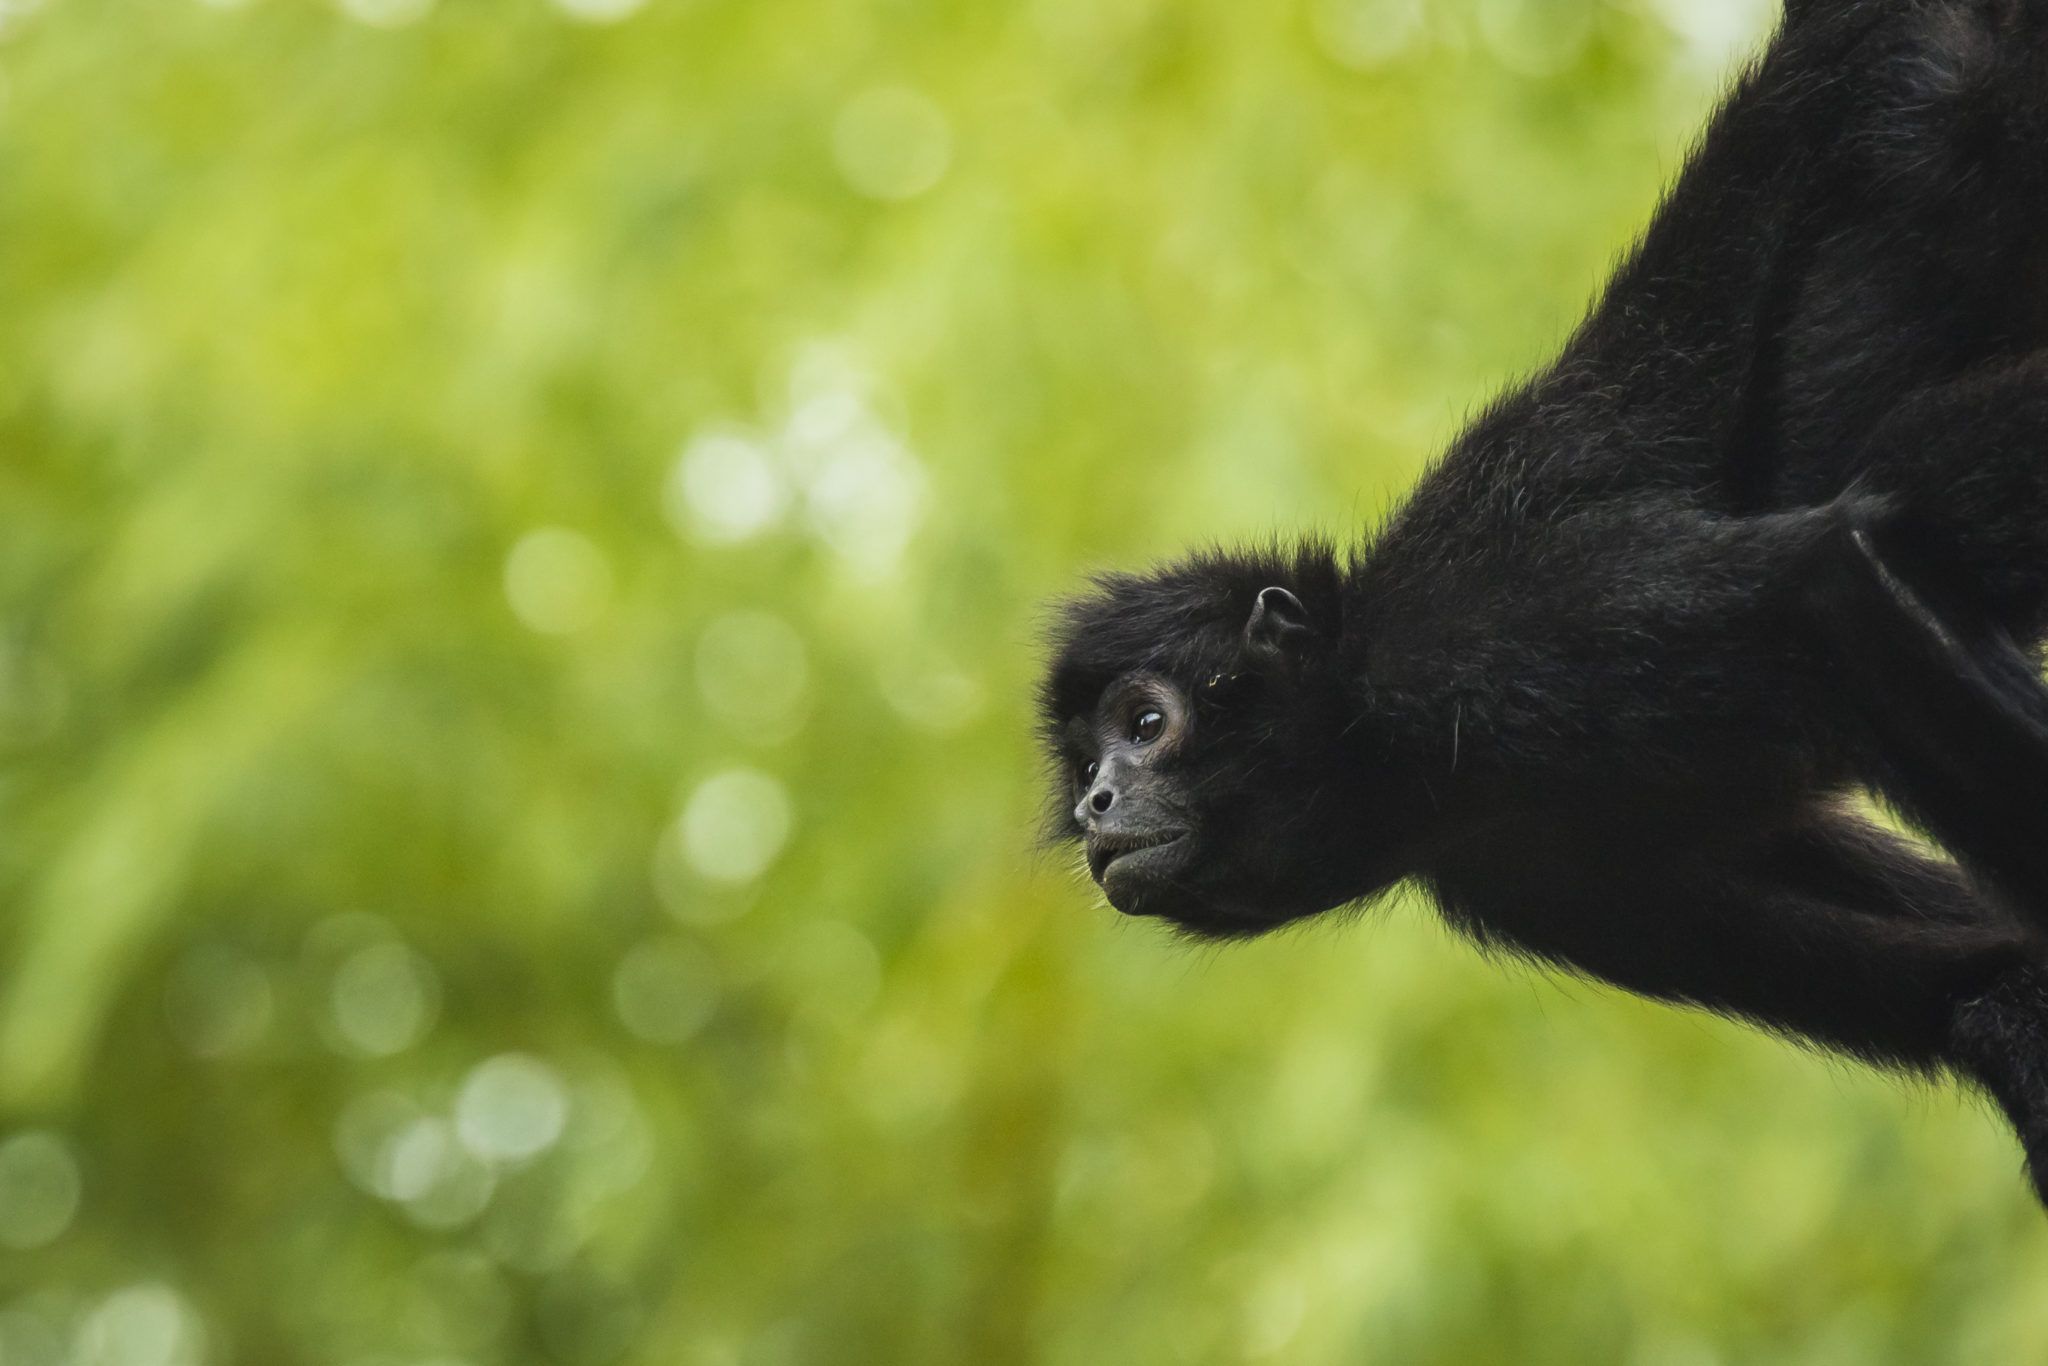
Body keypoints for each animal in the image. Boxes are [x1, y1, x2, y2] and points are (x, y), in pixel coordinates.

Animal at [1040, 0, 2048, 1204]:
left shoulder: (1485, 637)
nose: (1098, 805)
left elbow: (1827, 572)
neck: (1383, 731)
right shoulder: (1514, 876)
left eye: (1146, 723)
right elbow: (1976, 985)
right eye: (1084, 766)